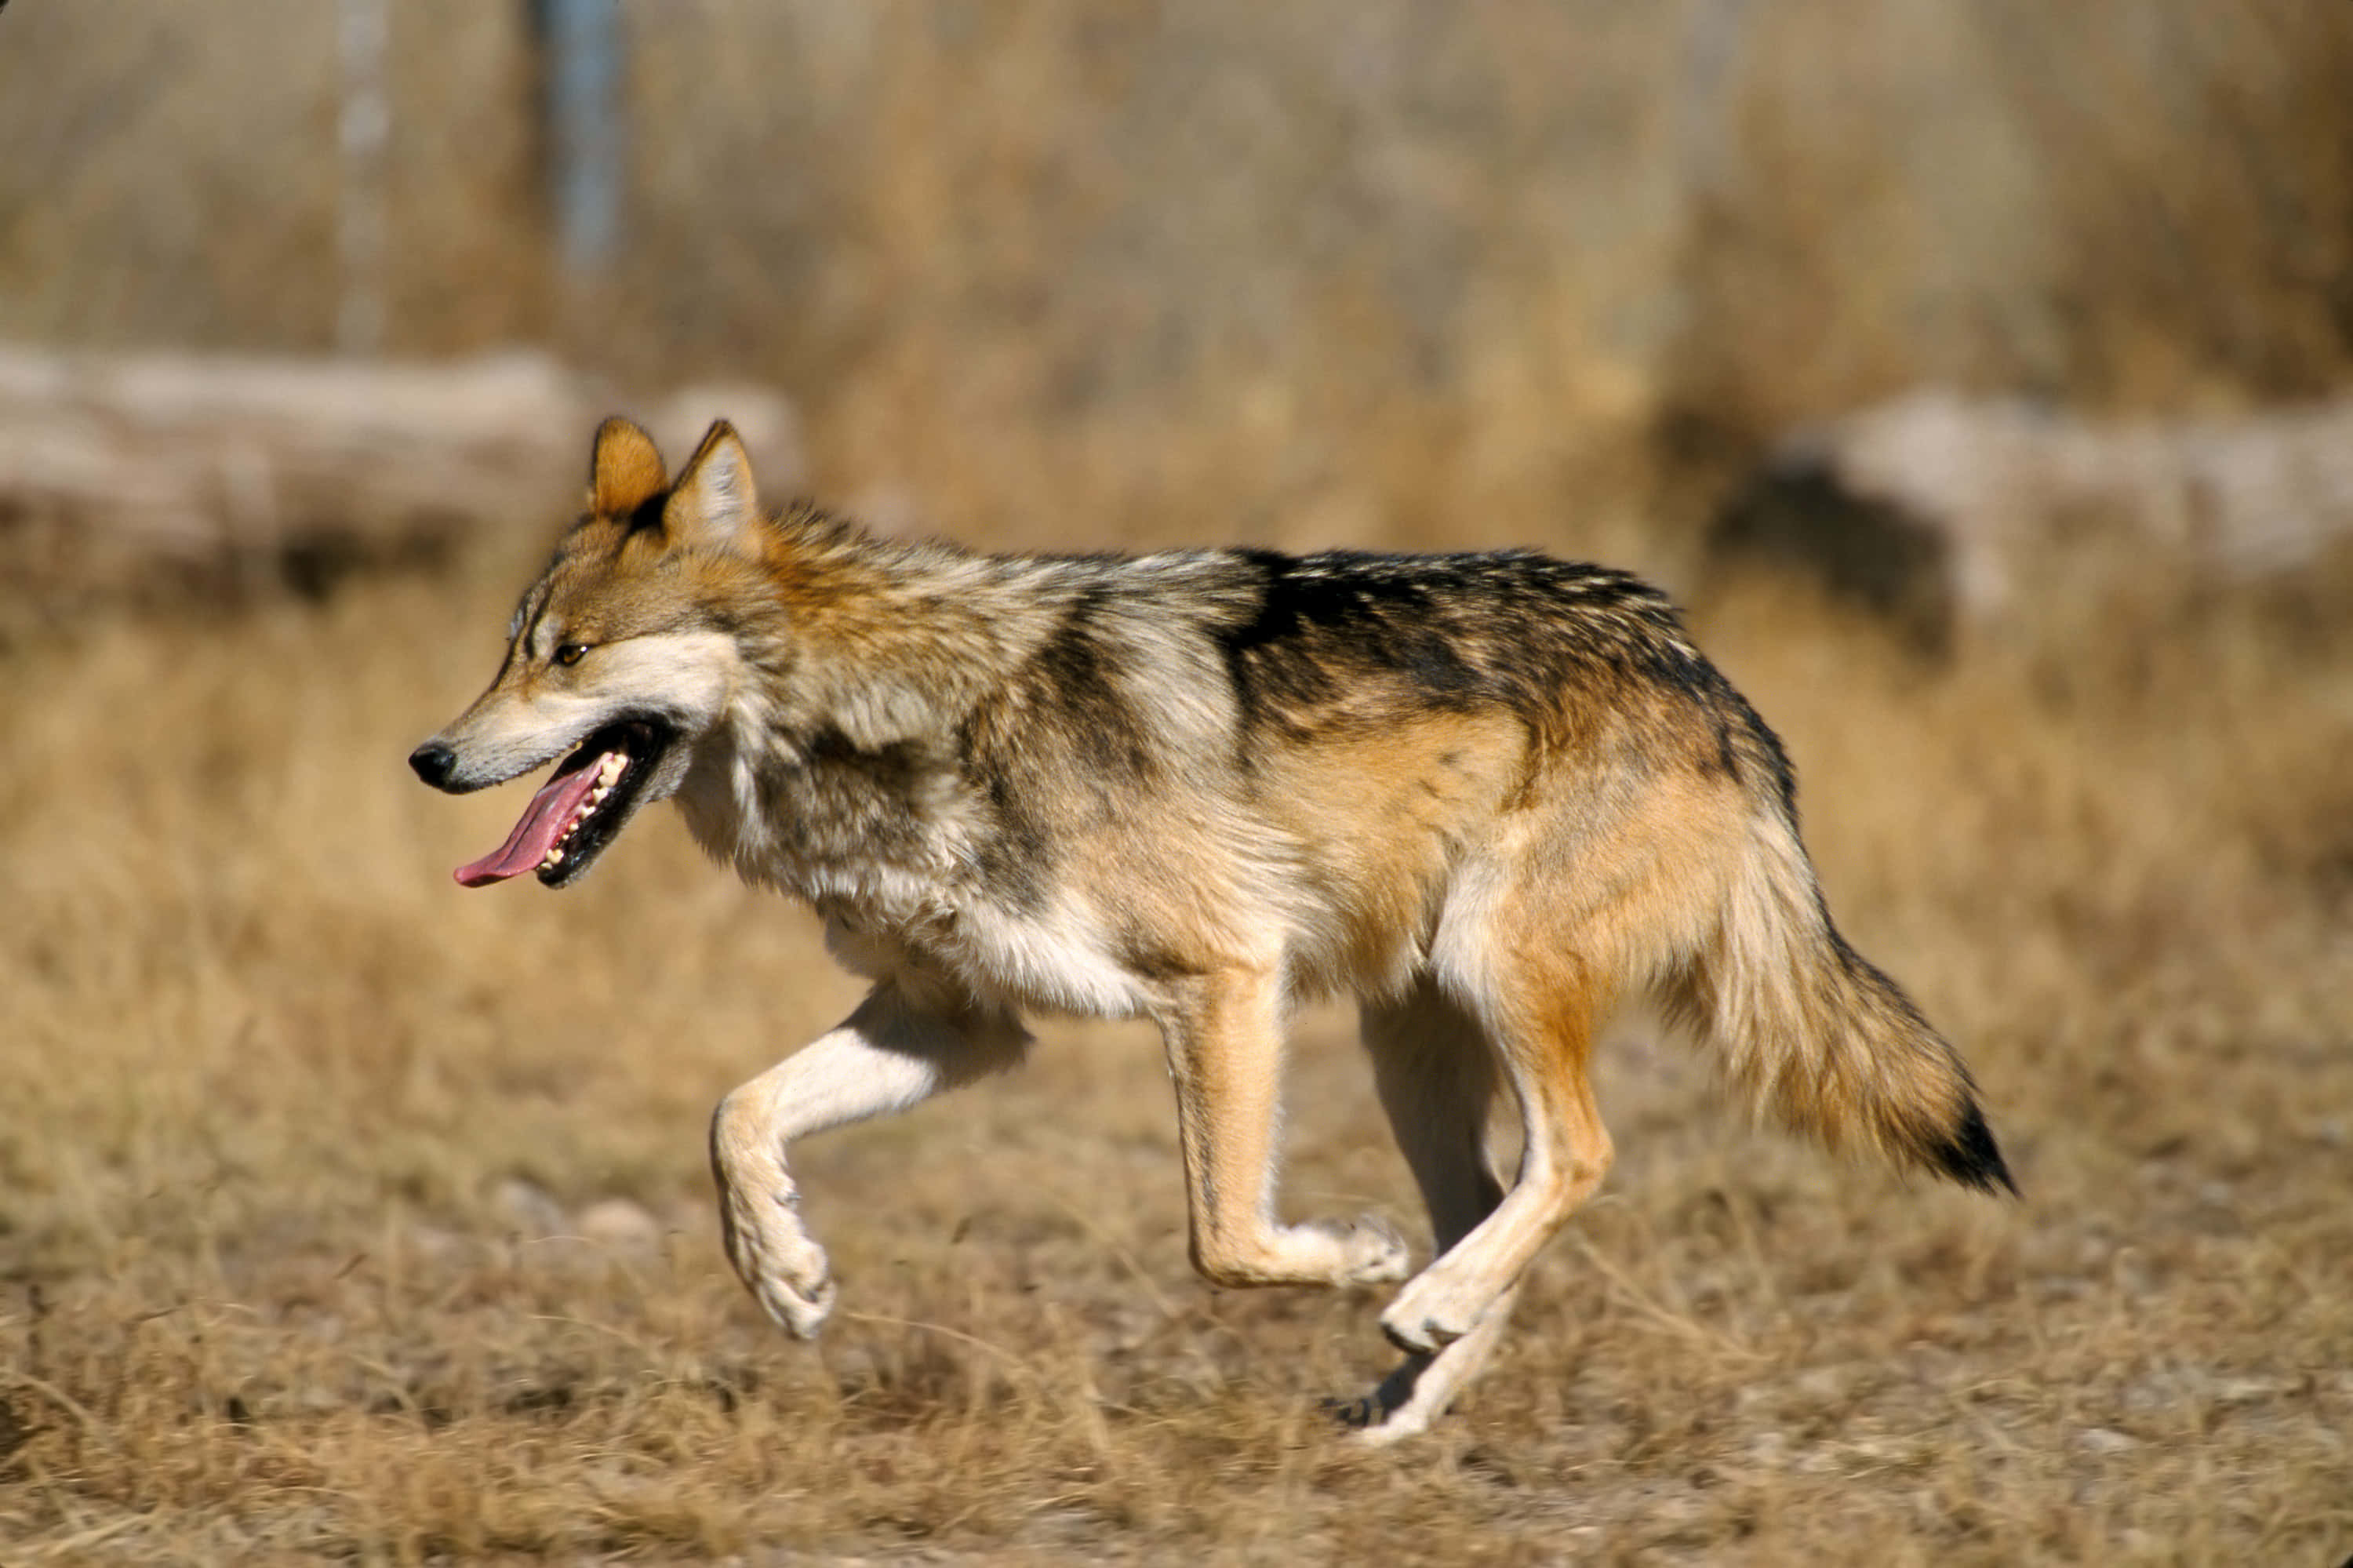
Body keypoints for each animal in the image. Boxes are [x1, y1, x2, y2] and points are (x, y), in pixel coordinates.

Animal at [410, 417, 2013, 1441]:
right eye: (508, 649)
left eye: (571, 655)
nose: (428, 756)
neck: (894, 718)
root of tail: (1703, 669)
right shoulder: (958, 1022)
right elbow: (735, 1114)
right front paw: (786, 1274)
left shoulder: (1223, 979)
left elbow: (1225, 1238)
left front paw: (1350, 1256)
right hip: (1408, 1040)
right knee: (1498, 1198)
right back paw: (1410, 1387)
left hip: (1487, 975)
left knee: (1577, 1157)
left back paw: (1412, 1301)